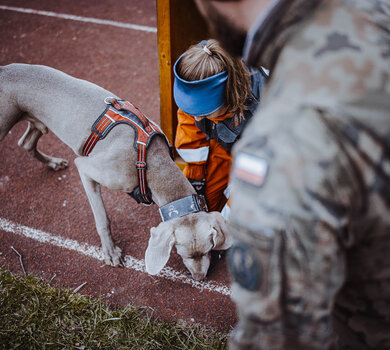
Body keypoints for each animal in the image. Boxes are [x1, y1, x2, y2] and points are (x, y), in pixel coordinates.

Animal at [0, 63, 232, 282]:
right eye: (185, 254)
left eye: (208, 250)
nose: (200, 278)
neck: (150, 162)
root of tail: (4, 70)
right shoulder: (86, 168)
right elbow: (103, 219)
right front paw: (110, 253)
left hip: (36, 120)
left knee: (26, 142)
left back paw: (53, 163)